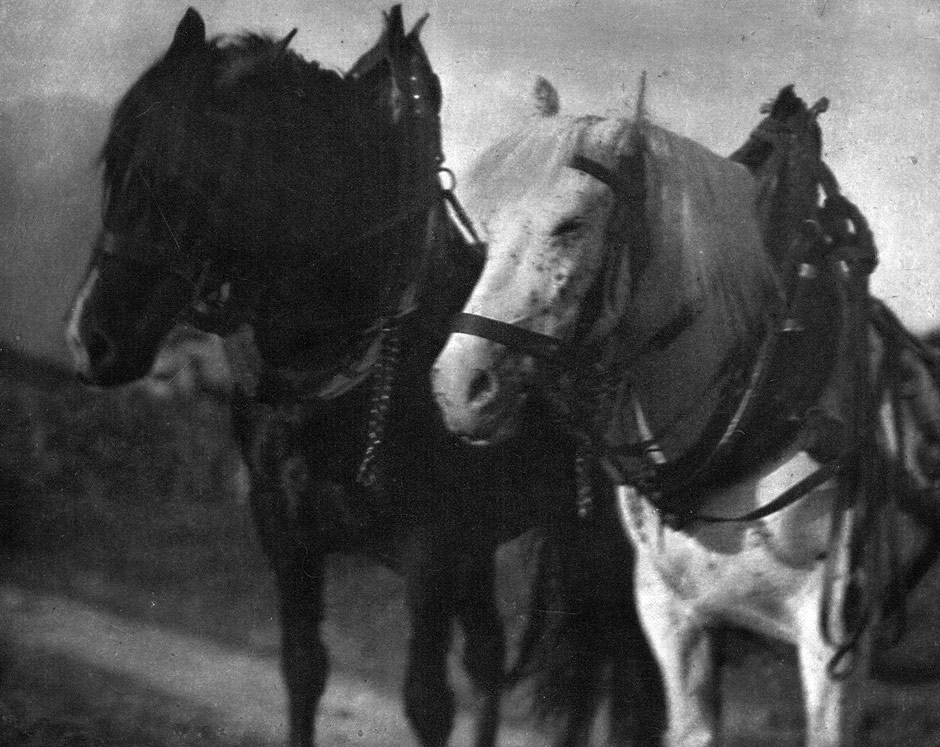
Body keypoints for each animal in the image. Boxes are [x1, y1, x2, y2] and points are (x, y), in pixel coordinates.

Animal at [64, 9, 664, 747]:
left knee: (614, 671)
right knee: (500, 656)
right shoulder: (289, 534)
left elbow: (427, 701)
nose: (91, 339)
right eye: (116, 165)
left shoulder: (431, 551)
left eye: (184, 174)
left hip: (602, 549)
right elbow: (304, 670)